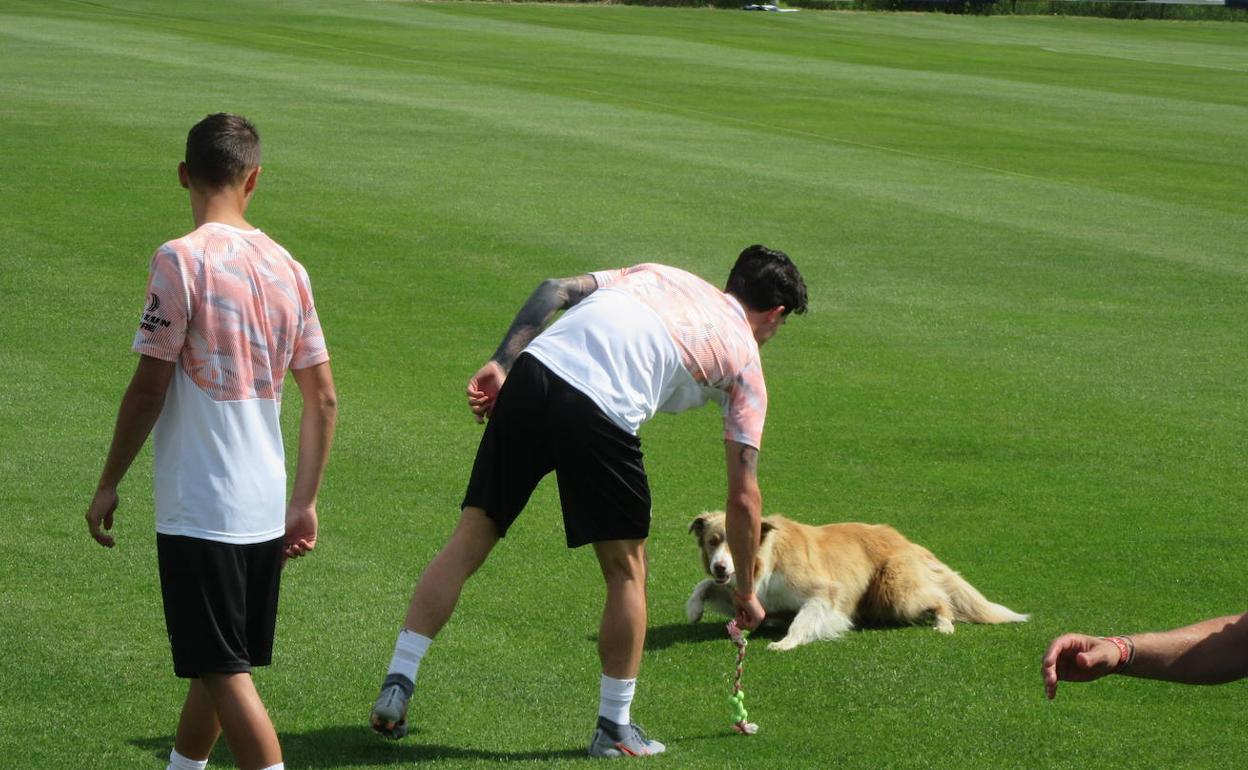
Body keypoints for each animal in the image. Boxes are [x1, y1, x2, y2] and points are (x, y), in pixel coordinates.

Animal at [688, 511, 1028, 648]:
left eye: (736, 546)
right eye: (712, 542)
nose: (719, 567)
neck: (765, 562)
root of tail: (909, 542)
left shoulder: (825, 590)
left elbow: (804, 620)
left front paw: (786, 643)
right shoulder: (753, 598)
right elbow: (705, 586)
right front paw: (693, 609)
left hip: (895, 588)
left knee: (940, 598)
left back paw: (944, 623)